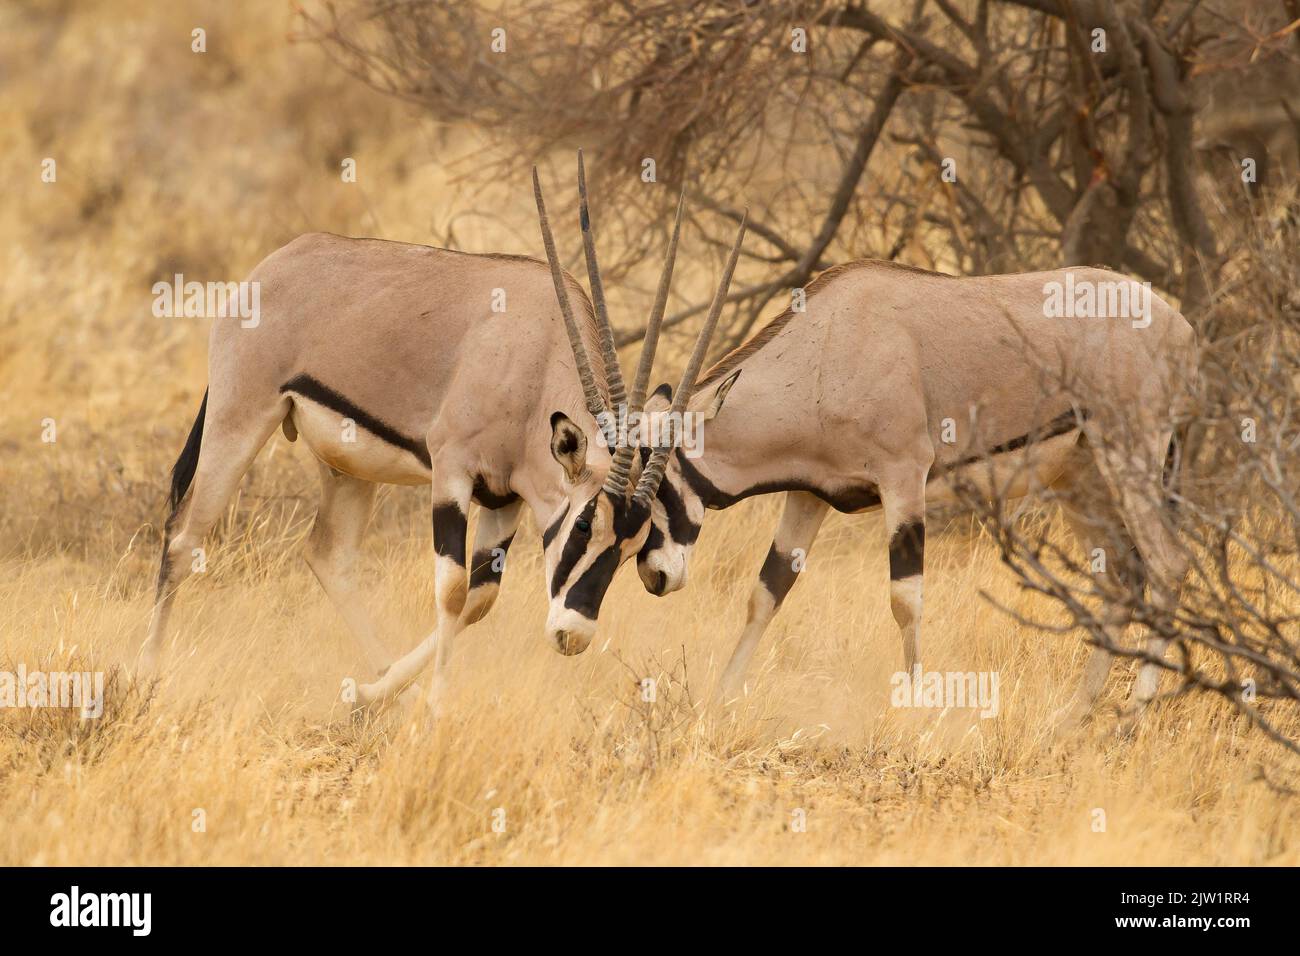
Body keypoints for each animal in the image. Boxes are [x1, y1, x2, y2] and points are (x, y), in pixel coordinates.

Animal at [139, 153, 743, 712]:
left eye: (635, 545)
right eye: (582, 528)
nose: (572, 637)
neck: (534, 354)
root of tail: (271, 267)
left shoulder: (504, 500)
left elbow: (480, 599)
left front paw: (379, 696)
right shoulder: (452, 474)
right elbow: (452, 592)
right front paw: (433, 711)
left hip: (346, 467)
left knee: (328, 556)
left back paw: (375, 689)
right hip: (238, 422)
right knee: (183, 537)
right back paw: (147, 674)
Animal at [540, 248, 1196, 723]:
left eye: (652, 501)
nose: (657, 577)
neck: (826, 349)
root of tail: (1177, 322)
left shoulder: (904, 479)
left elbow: (906, 600)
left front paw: (915, 711)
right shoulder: (809, 494)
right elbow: (766, 592)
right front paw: (720, 699)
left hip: (1131, 454)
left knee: (1167, 565)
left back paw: (1134, 713)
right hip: (1082, 481)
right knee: (1120, 580)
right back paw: (1074, 715)